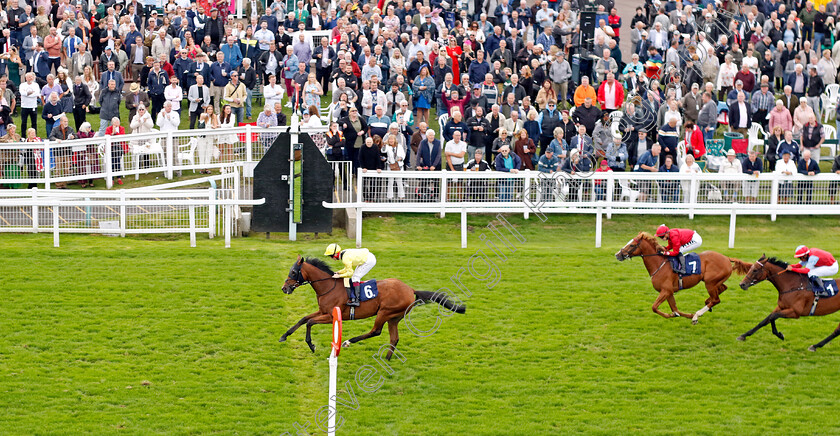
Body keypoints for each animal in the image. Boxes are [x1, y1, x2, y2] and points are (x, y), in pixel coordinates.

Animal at [280, 254, 466, 360]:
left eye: (293, 272)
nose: (284, 288)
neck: (328, 286)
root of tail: (410, 289)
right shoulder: (322, 311)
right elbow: (304, 319)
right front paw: (284, 336)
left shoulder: (331, 316)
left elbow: (310, 322)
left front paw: (311, 345)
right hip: (394, 318)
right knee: (394, 338)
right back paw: (387, 359)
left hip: (384, 312)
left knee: (376, 331)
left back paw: (348, 341)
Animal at [612, 232, 752, 324]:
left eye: (631, 245)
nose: (618, 255)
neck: (659, 264)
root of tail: (727, 258)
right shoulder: (669, 292)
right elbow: (675, 308)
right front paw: (683, 315)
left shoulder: (666, 290)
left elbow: (654, 307)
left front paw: (683, 315)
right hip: (714, 281)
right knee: (721, 290)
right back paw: (706, 305)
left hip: (710, 283)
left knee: (716, 299)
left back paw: (698, 314)